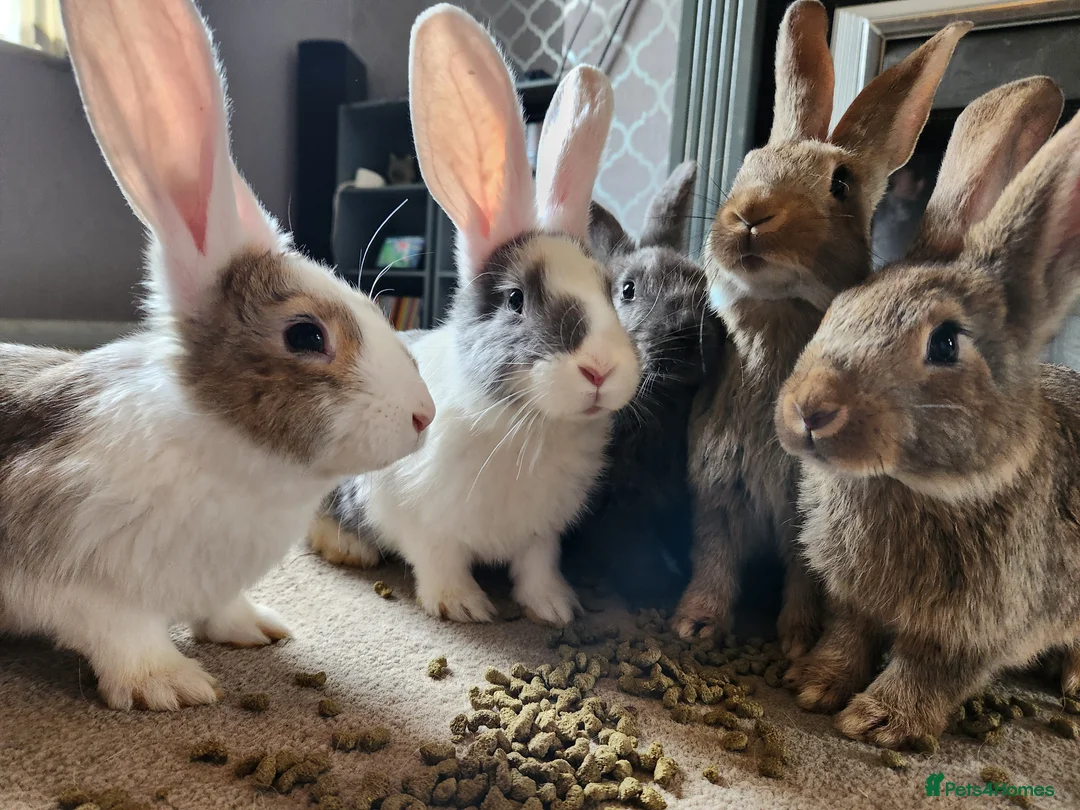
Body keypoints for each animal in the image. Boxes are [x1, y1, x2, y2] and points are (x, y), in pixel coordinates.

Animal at [0, 0, 434, 712]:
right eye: (306, 336)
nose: (426, 415)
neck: (229, 450)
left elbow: (223, 608)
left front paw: (257, 630)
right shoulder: (74, 574)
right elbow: (119, 631)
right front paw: (169, 686)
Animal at [307, 5, 640, 625]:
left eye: (614, 292)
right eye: (515, 300)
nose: (601, 370)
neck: (526, 424)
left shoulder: (543, 533)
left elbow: (537, 565)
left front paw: (555, 608)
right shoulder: (417, 517)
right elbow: (439, 559)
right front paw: (463, 606)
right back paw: (349, 549)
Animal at [562, 161, 725, 607]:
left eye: (703, 283)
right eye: (628, 290)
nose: (689, 333)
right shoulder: (615, 501)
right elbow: (631, 549)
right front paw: (659, 594)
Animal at [673, 0, 969, 657]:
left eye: (841, 184)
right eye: (747, 164)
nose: (751, 214)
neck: (778, 317)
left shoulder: (805, 512)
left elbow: (804, 573)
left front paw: (798, 644)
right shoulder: (719, 492)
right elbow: (714, 558)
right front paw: (695, 627)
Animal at [775, 76, 1075, 749]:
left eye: (944, 344)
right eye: (840, 307)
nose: (810, 409)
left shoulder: (978, 625)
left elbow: (930, 670)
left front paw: (879, 720)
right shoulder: (854, 599)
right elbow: (849, 635)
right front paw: (813, 685)